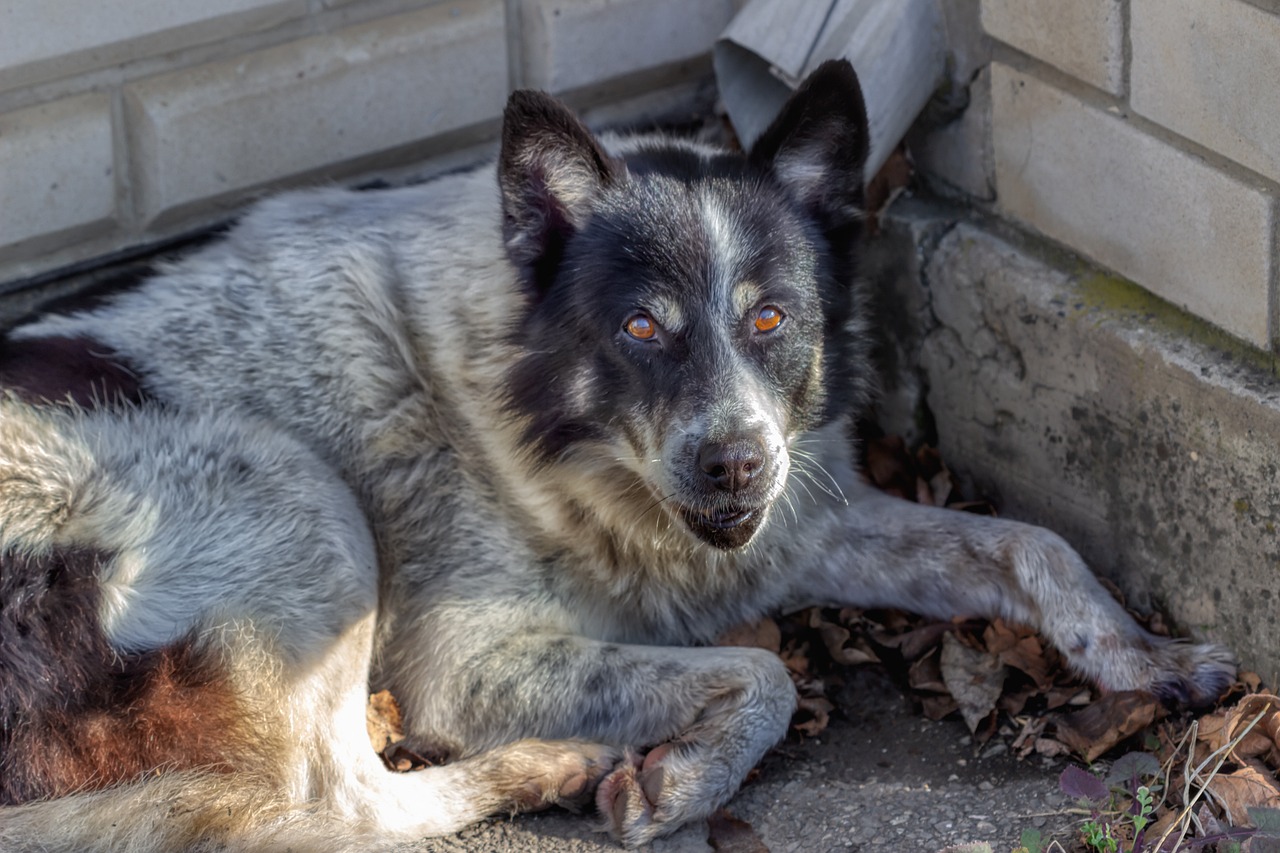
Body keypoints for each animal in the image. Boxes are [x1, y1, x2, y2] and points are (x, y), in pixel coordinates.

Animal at [0, 58, 1233, 845]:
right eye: (642, 328)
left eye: (771, 318)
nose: (735, 465)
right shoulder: (467, 658)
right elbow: (767, 670)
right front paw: (683, 782)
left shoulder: (801, 518)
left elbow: (1029, 546)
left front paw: (1148, 657)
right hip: (293, 491)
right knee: (335, 807)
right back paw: (537, 766)